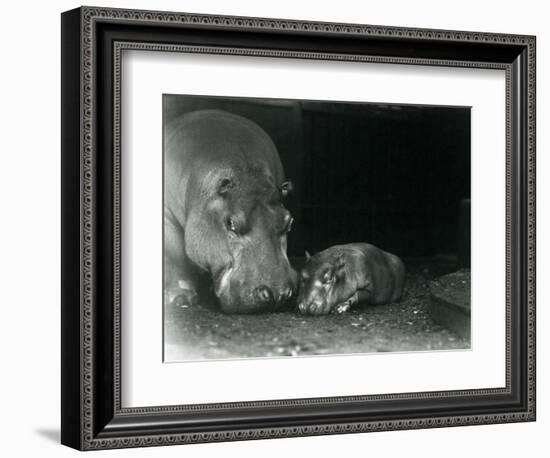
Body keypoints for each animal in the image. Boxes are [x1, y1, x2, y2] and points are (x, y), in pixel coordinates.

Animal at [165, 109, 298, 314]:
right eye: (231, 223)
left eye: (289, 221)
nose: (277, 294)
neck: (247, 173)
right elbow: (174, 256)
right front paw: (181, 298)